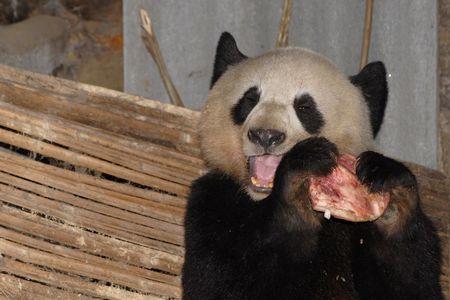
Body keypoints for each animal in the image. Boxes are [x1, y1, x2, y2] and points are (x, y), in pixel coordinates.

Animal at [180, 32, 442, 300]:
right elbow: (219, 283)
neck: (262, 200)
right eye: (250, 99)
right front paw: (297, 187)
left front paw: (390, 189)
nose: (265, 135)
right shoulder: (212, 203)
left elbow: (414, 283)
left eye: (304, 107)